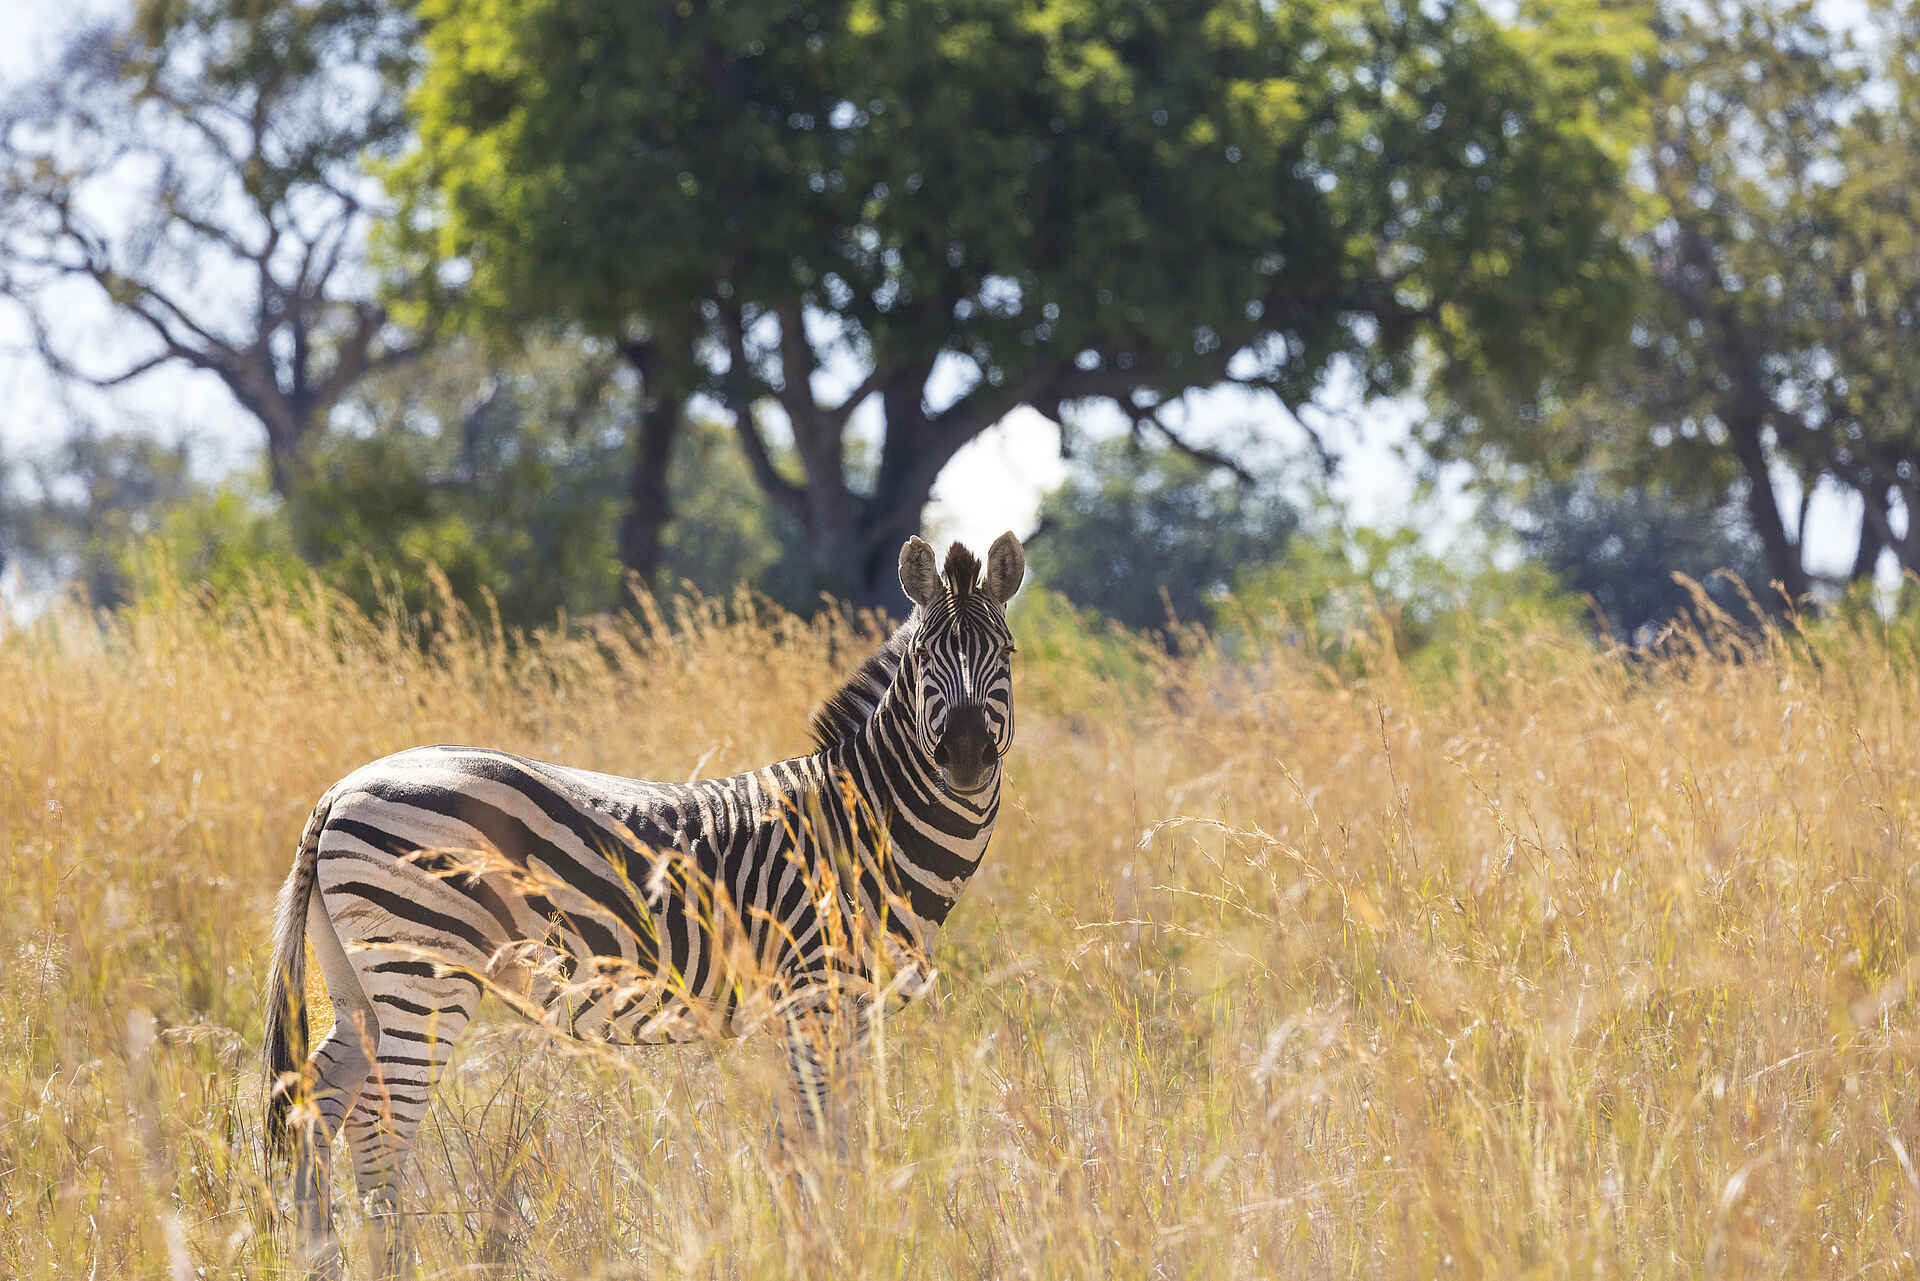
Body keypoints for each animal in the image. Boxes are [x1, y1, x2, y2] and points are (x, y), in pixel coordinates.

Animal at [262, 532, 1024, 1275]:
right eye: (924, 658)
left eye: (1007, 654)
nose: (964, 755)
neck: (861, 824)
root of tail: (340, 787)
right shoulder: (814, 995)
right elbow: (812, 1142)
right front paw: (821, 1249)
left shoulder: (847, 1012)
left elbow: (829, 1140)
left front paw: (834, 1238)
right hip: (425, 969)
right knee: (380, 1123)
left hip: (358, 979)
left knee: (313, 1101)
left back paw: (318, 1261)